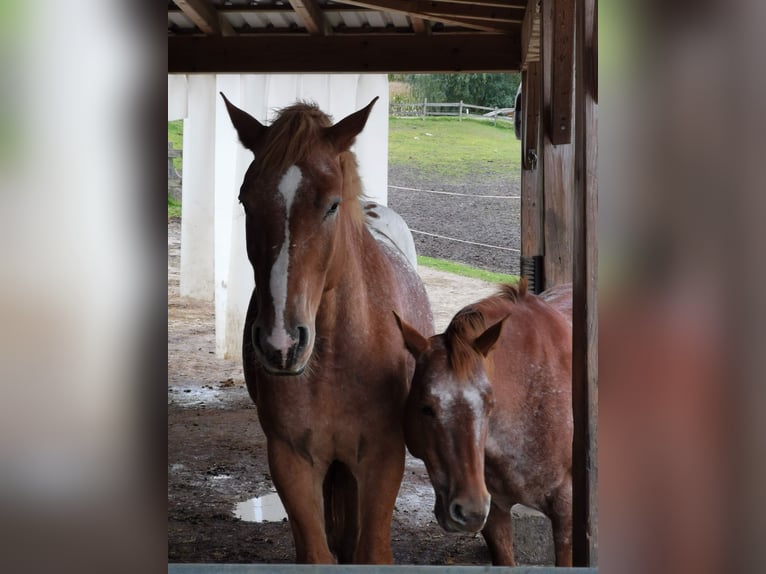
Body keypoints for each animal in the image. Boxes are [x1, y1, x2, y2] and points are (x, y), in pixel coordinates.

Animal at [225, 95, 436, 568]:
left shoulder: (382, 458)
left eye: (333, 205)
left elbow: (370, 551)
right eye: (246, 200)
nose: (281, 344)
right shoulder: (291, 461)